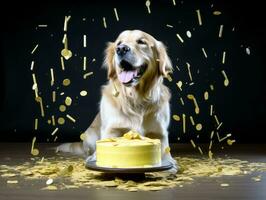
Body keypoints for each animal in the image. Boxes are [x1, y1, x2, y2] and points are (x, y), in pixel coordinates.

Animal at [59, 29, 178, 172]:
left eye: (141, 42)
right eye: (119, 43)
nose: (121, 49)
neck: (136, 98)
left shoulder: (160, 133)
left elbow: (165, 152)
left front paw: (170, 165)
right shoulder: (112, 129)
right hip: (90, 135)